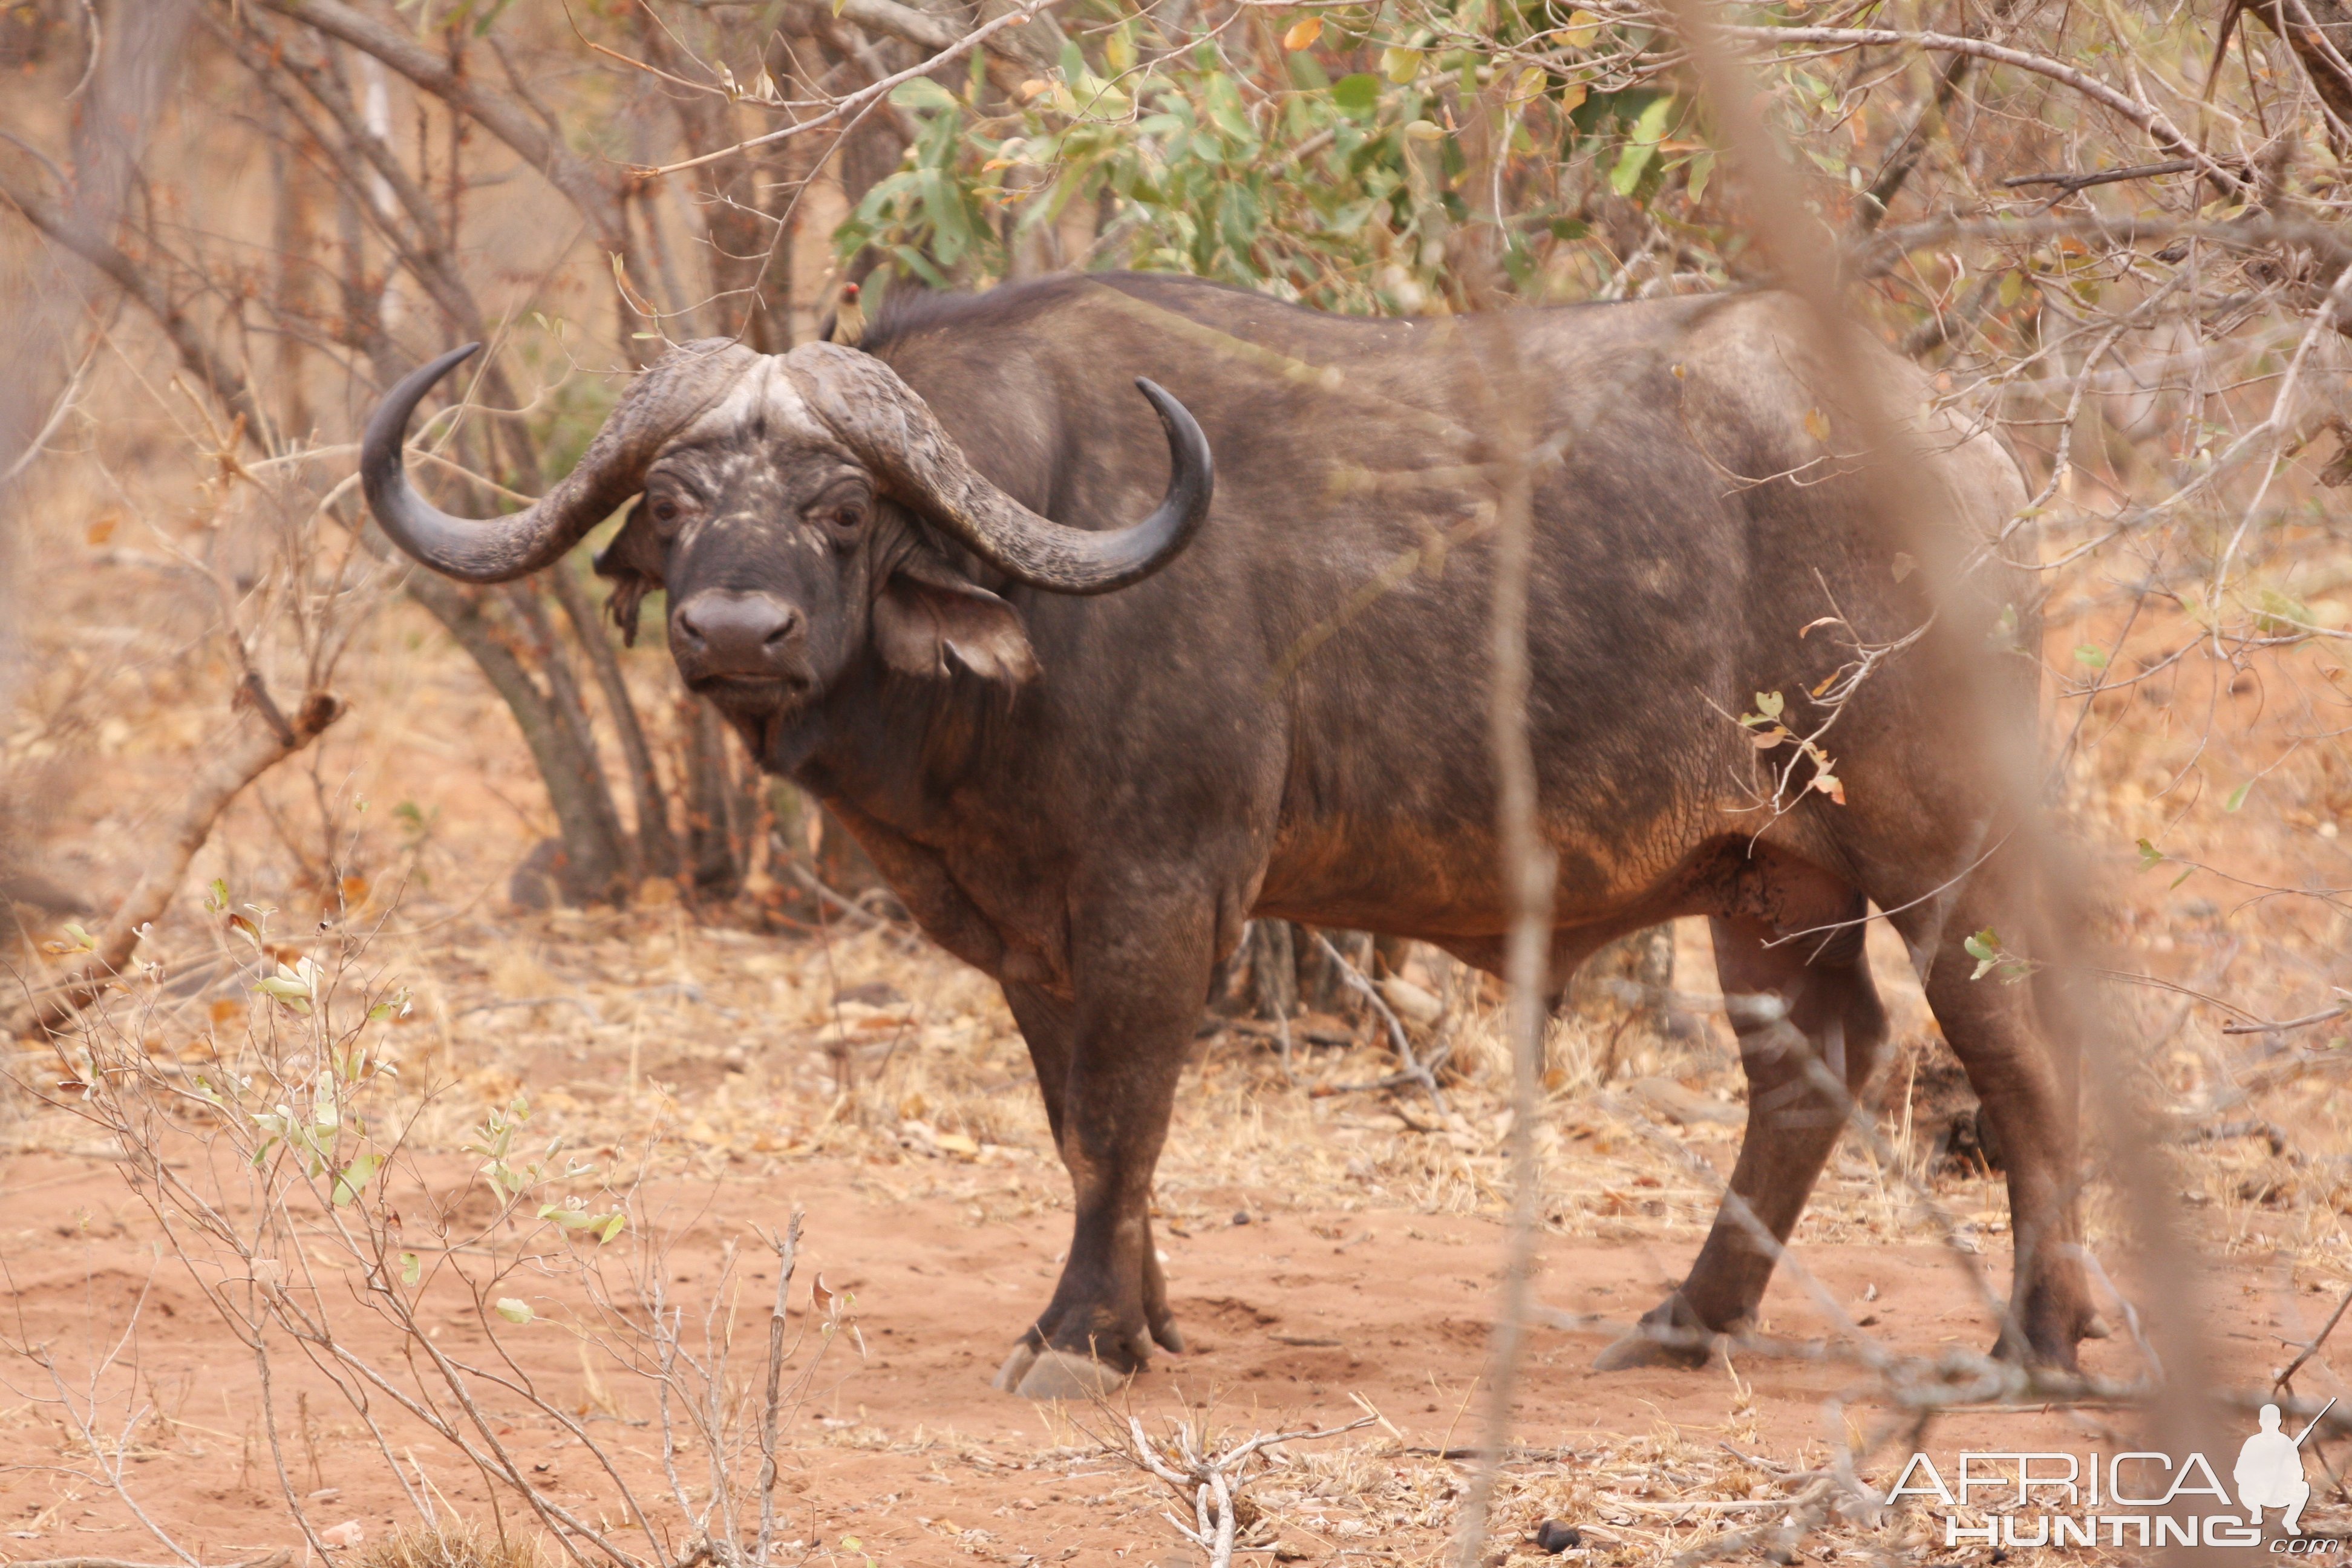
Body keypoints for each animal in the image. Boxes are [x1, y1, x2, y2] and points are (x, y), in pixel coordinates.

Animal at [357, 270, 2088, 1401]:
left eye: (840, 513)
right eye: (670, 505)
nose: (733, 630)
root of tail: (1968, 451)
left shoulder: (1162, 896)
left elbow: (1127, 1117)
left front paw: (1074, 1342)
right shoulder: (1032, 934)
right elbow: (1081, 1128)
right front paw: (1141, 1317)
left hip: (1941, 838)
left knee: (2017, 1054)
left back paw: (2039, 1339)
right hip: (1765, 877)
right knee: (1812, 1066)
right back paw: (1683, 1322)